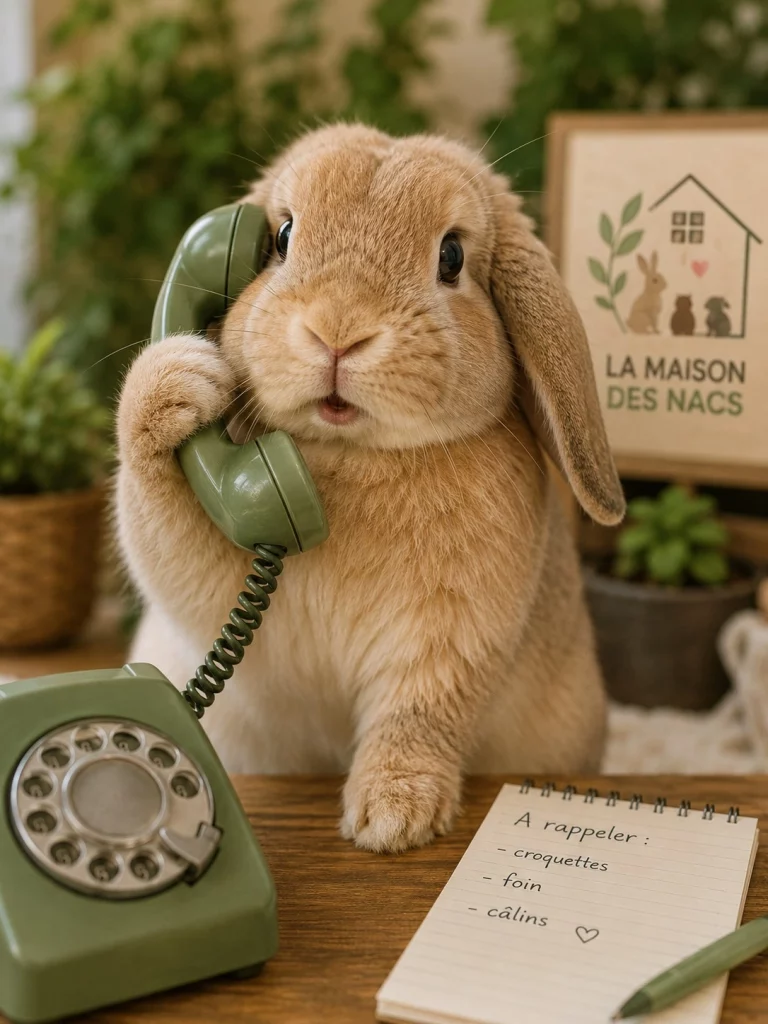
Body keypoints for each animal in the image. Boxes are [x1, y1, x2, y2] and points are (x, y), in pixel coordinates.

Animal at [116, 123, 625, 854]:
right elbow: (159, 521)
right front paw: (179, 379)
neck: (348, 457)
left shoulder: (449, 640)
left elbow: (417, 715)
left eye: (451, 256)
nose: (337, 333)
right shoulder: (209, 572)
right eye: (282, 237)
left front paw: (393, 817)